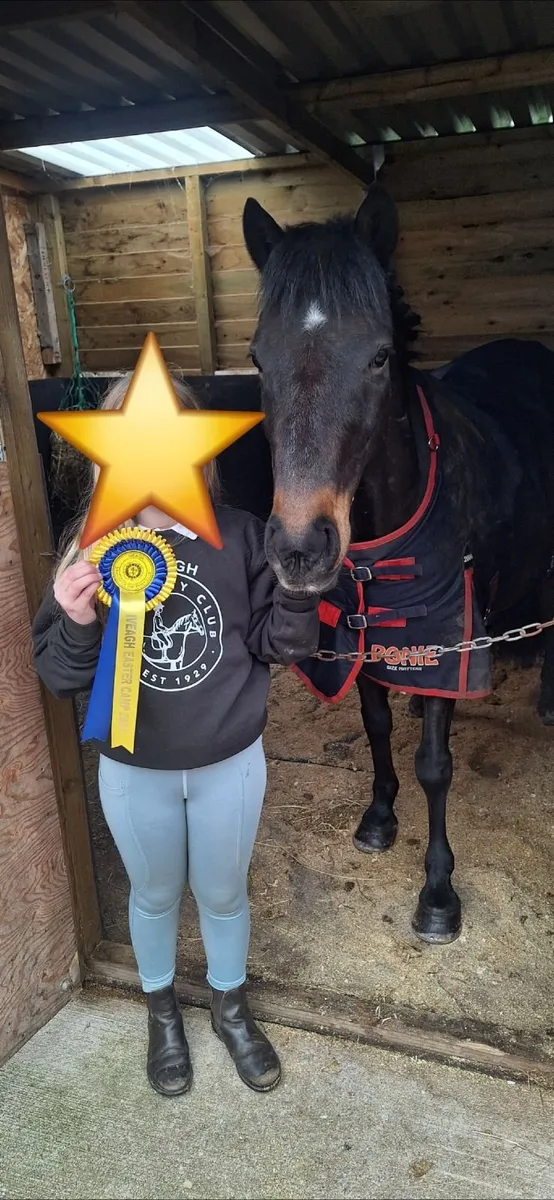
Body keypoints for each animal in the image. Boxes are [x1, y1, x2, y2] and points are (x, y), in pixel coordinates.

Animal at [242, 184, 554, 944]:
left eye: (380, 356)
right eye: (259, 360)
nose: (299, 547)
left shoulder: (448, 633)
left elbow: (435, 765)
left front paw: (438, 892)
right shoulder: (363, 631)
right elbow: (377, 725)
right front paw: (379, 818)